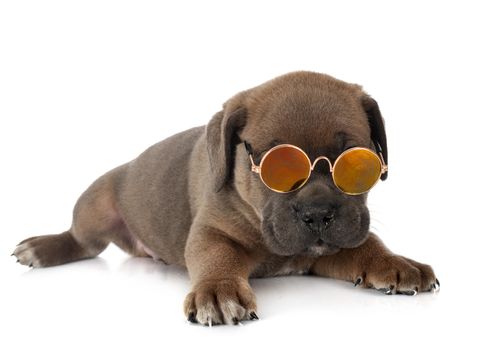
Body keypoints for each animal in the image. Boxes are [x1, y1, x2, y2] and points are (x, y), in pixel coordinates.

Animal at [12, 70, 440, 326]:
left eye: (355, 164)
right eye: (277, 168)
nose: (318, 213)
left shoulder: (331, 248)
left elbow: (368, 244)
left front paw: (395, 263)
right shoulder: (211, 233)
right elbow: (218, 257)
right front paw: (218, 291)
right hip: (95, 205)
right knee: (82, 241)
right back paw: (43, 247)